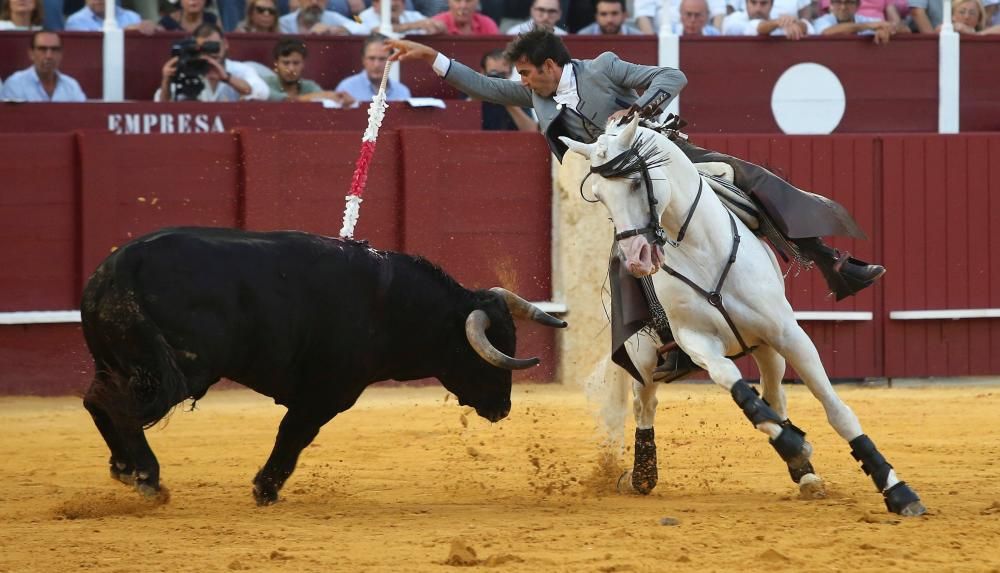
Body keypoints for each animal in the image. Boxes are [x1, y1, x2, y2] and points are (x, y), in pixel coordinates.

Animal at [82, 226, 568, 502]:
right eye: (487, 356)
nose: (502, 408)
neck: (391, 305)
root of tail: (116, 269)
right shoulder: (327, 393)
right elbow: (294, 435)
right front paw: (265, 489)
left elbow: (293, 435)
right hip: (179, 370)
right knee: (118, 406)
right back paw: (147, 478)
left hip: (118, 362)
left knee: (97, 401)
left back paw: (125, 469)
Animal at [560, 118, 924, 516]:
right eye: (599, 196)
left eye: (636, 183)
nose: (637, 258)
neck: (699, 249)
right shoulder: (695, 339)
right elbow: (736, 388)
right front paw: (794, 444)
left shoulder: (788, 334)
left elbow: (834, 408)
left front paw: (896, 489)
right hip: (642, 356)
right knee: (646, 402)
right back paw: (643, 474)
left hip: (765, 347)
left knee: (775, 394)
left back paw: (805, 474)